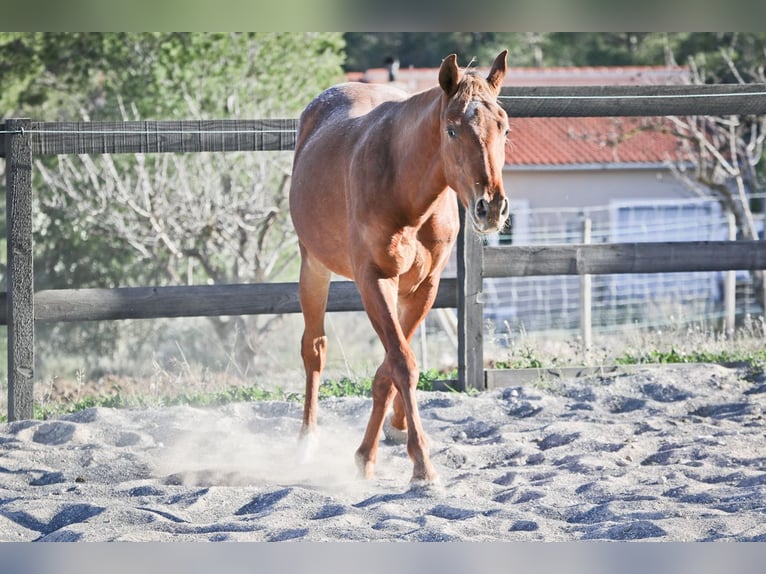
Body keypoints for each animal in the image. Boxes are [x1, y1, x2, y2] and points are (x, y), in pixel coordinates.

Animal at [288, 50, 510, 486]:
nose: (490, 207)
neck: (407, 193)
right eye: (452, 130)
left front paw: (373, 450)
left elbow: (391, 368)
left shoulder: (424, 288)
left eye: (504, 128)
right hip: (314, 266)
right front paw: (421, 463)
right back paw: (306, 443)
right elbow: (403, 365)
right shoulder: (375, 281)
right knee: (314, 350)